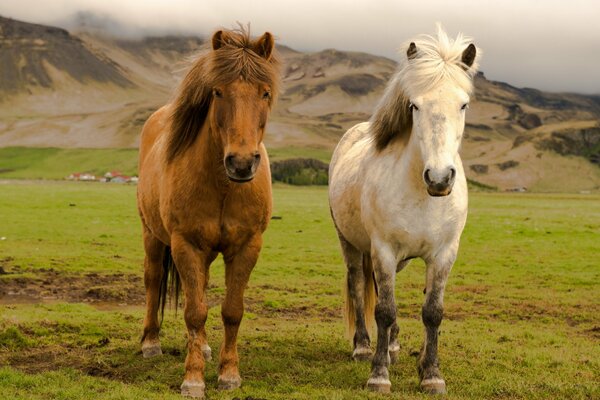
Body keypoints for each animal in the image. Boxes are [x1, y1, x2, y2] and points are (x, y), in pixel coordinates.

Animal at [138, 28, 282, 396]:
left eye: (265, 92)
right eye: (217, 91)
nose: (241, 163)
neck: (223, 187)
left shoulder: (246, 247)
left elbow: (231, 310)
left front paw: (229, 373)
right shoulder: (185, 244)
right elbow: (194, 312)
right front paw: (193, 379)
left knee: (200, 285)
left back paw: (201, 346)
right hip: (152, 235)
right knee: (154, 280)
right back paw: (151, 342)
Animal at [328, 27, 478, 394]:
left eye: (463, 104)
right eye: (414, 105)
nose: (439, 177)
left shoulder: (444, 253)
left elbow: (432, 311)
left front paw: (431, 373)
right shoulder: (382, 249)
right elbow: (383, 309)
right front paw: (379, 374)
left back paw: (394, 346)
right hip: (350, 243)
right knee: (358, 285)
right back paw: (364, 346)